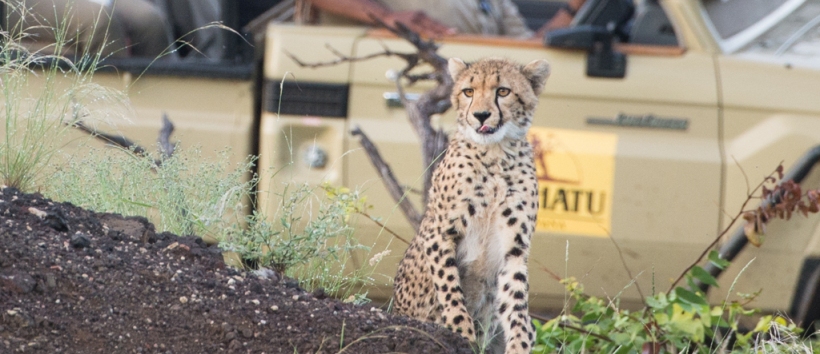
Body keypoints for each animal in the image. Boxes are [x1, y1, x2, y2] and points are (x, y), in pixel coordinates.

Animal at [392, 56, 548, 352]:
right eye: (468, 92)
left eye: (503, 91)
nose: (481, 115)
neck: (496, 154)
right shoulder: (439, 232)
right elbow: (450, 288)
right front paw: (461, 333)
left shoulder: (514, 247)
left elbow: (516, 302)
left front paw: (519, 342)